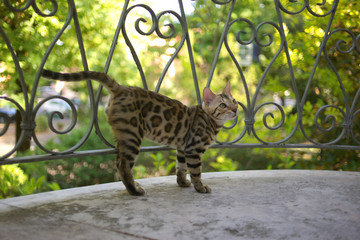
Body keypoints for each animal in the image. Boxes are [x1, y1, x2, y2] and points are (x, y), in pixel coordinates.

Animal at [42, 69, 238, 195]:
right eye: (223, 105)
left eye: (234, 101)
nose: (236, 109)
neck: (210, 121)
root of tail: (122, 87)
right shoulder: (193, 148)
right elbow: (196, 171)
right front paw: (200, 187)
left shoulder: (182, 148)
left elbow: (181, 168)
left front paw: (182, 183)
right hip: (133, 136)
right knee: (123, 164)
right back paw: (134, 191)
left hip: (124, 136)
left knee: (118, 161)